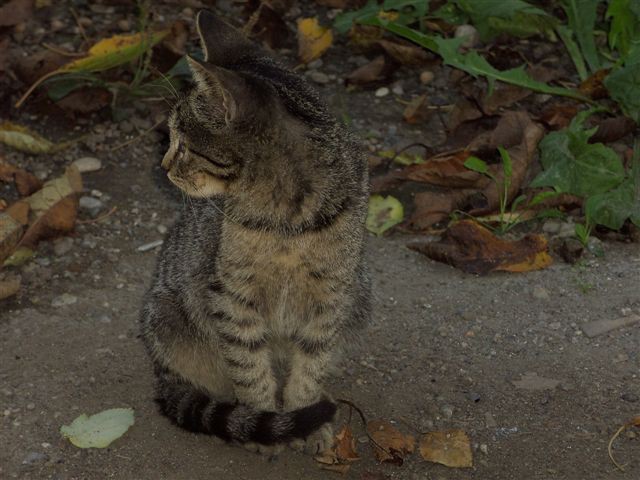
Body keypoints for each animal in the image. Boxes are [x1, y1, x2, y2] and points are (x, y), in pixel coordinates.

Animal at [140, 10, 370, 454]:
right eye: (169, 138)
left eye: (184, 144)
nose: (163, 166)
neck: (287, 222)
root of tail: (158, 368)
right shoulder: (230, 295)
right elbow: (248, 366)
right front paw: (265, 420)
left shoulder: (331, 295)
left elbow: (310, 367)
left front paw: (305, 419)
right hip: (166, 319)